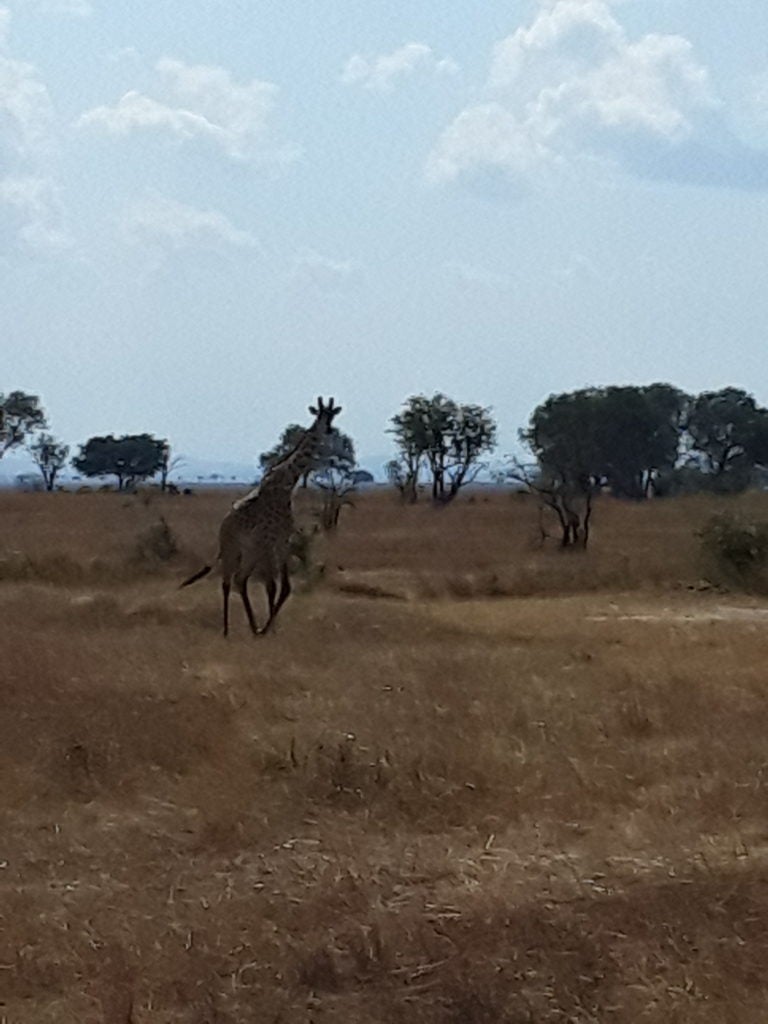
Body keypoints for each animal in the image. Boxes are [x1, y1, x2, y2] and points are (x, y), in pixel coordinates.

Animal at [180, 395, 342, 634]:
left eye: (332, 416)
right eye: (319, 415)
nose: (329, 430)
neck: (287, 483)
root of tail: (223, 524)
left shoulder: (282, 541)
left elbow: (284, 587)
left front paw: (270, 628)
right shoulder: (266, 542)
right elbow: (271, 586)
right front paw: (267, 629)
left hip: (250, 551)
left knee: (240, 580)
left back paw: (253, 626)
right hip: (232, 549)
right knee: (227, 582)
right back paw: (227, 630)